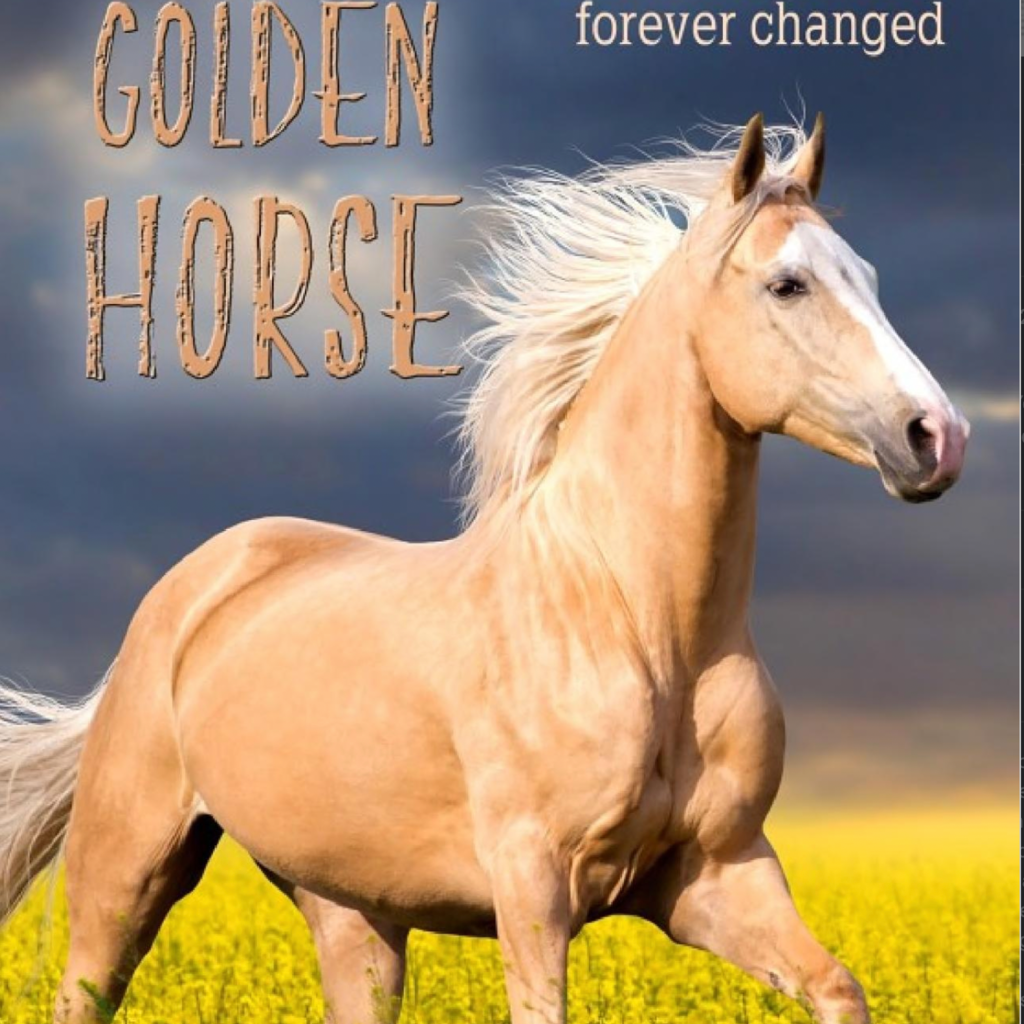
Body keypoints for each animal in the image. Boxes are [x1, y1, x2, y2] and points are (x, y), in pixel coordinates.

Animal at [0, 114, 968, 1024]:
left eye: (868, 276)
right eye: (786, 284)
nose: (937, 437)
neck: (638, 624)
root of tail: (186, 592)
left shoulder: (719, 874)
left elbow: (838, 988)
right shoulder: (534, 884)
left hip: (353, 911)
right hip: (126, 874)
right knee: (85, 988)